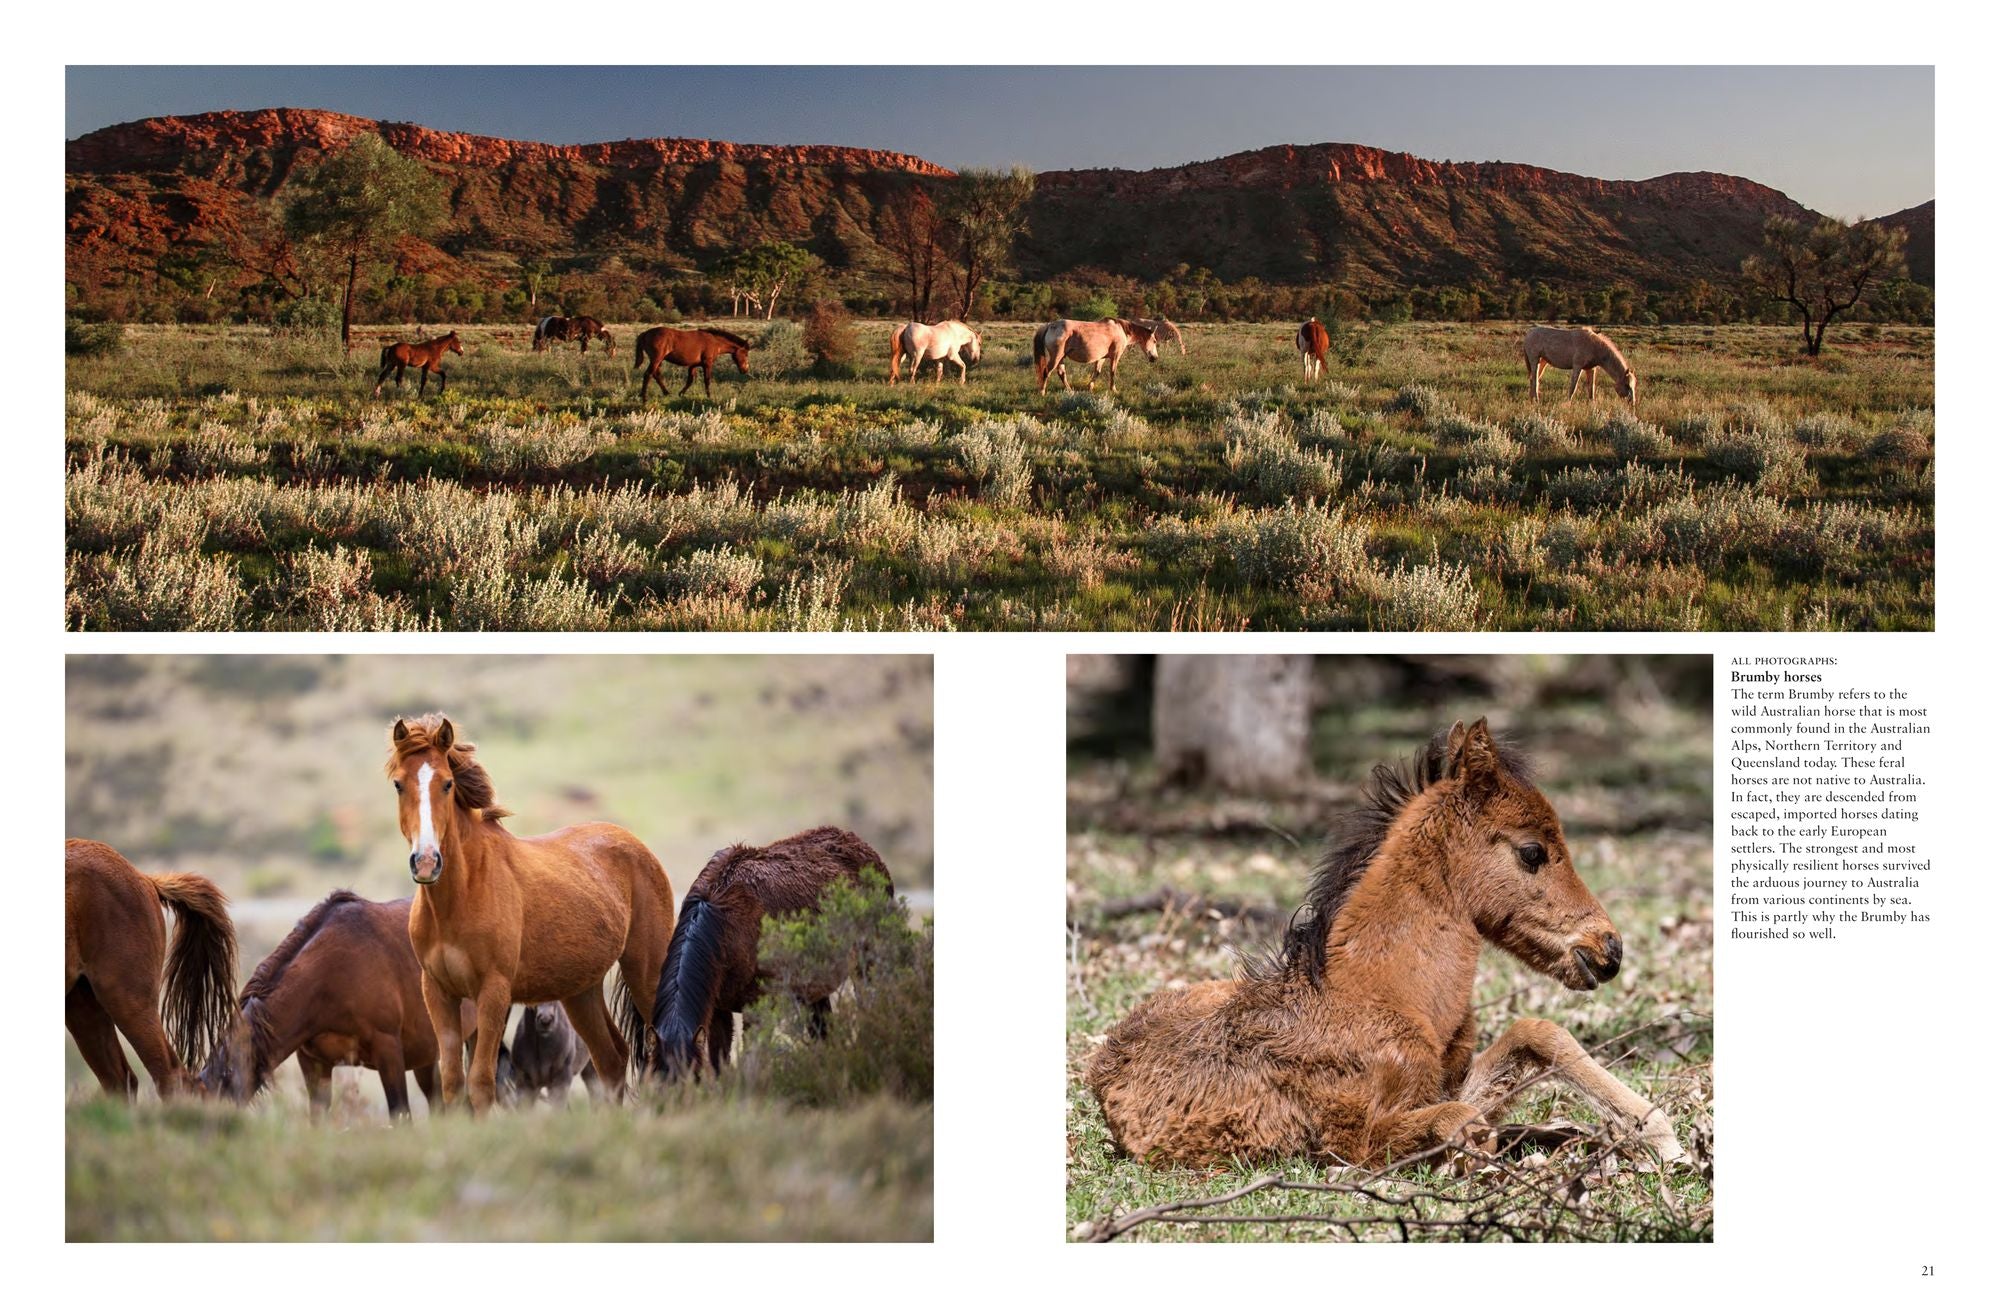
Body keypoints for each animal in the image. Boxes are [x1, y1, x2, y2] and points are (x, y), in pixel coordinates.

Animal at [388, 714, 676, 1113]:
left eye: (447, 783)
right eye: (399, 784)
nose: (427, 862)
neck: (460, 897)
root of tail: (635, 845)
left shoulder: (493, 992)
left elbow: (481, 1082)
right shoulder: (438, 992)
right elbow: (452, 1083)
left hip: (646, 972)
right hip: (581, 991)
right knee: (612, 1060)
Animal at [650, 826, 892, 1078]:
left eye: (693, 1076)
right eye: (658, 1077)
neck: (725, 924)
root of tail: (865, 848)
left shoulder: (757, 1010)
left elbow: (751, 1060)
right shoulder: (718, 1011)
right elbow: (719, 1064)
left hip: (867, 963)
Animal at [1032, 317, 1184, 394]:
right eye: (1154, 341)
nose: (1155, 358)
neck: (1122, 330)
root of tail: (1050, 325)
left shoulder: (1101, 358)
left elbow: (1097, 372)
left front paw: (1090, 388)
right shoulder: (1115, 356)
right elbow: (1113, 372)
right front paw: (1113, 389)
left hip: (1061, 358)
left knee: (1061, 374)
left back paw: (1070, 391)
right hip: (1056, 357)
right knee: (1046, 372)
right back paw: (1042, 392)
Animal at [1085, 720, 1687, 1170]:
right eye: (1533, 851)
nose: (1609, 949)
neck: (1388, 995)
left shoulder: (1443, 1082)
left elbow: (1534, 1034)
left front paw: (1656, 1135)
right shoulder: (1353, 1141)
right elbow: (1465, 1125)